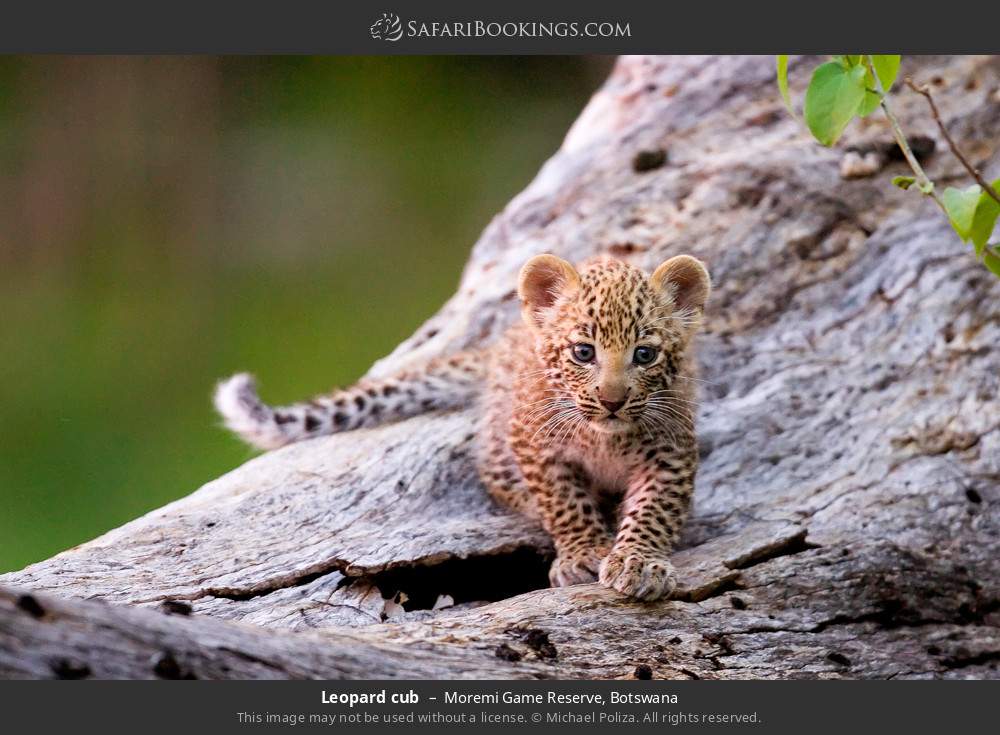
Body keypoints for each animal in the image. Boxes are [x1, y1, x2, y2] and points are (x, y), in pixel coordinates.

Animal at [214, 253, 710, 601]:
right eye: (583, 352)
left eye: (644, 354)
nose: (612, 400)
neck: (603, 439)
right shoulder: (534, 443)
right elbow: (564, 502)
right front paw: (586, 553)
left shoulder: (671, 451)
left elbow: (653, 510)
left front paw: (638, 562)